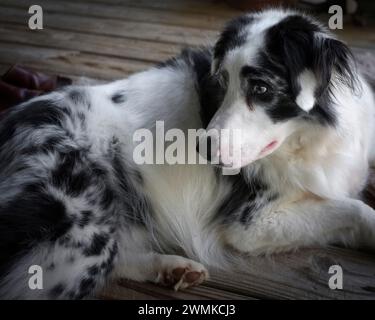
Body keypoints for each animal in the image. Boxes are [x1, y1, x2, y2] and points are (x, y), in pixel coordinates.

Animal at [0, 8, 375, 300]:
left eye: (261, 88)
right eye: (221, 82)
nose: (202, 148)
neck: (312, 137)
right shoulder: (250, 224)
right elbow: (355, 210)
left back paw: (172, 268)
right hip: (82, 235)